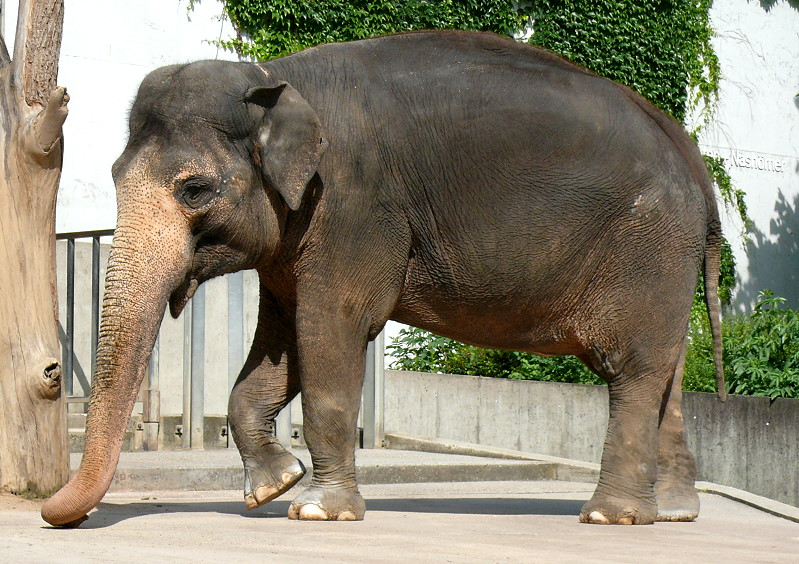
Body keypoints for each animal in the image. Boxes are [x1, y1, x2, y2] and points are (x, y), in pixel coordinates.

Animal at [39, 29, 724, 524]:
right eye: (112, 174)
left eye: (196, 190)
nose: (51, 515)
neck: (274, 81)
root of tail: (693, 160)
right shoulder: (295, 235)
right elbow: (282, 347)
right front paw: (272, 487)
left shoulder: (354, 208)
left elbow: (331, 331)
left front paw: (318, 510)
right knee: (666, 375)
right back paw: (669, 514)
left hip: (647, 246)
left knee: (633, 371)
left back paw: (611, 517)